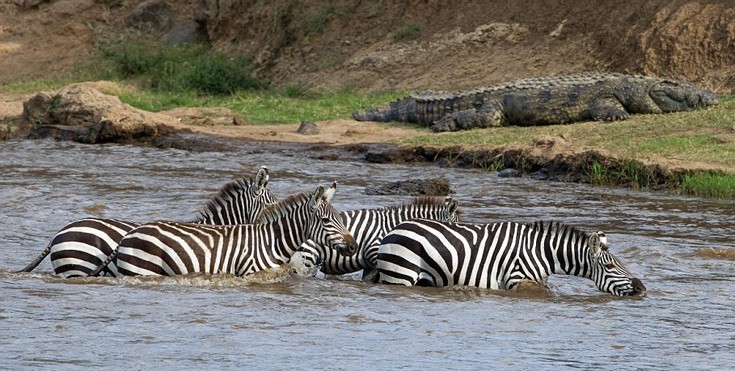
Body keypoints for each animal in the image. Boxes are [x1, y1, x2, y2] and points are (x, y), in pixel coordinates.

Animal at [89, 185, 360, 278]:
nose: (353, 246)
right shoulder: (249, 274)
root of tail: (130, 233)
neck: (271, 242)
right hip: (140, 270)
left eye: (340, 218)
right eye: (326, 220)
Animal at [374, 221, 644, 296]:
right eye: (610, 265)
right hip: (400, 275)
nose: (642, 288)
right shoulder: (517, 279)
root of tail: (394, 230)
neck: (541, 253)